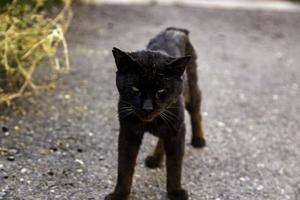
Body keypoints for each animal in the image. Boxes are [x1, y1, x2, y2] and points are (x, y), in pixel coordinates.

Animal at [105, 27, 206, 200]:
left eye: (161, 91)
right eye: (135, 88)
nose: (147, 107)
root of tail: (176, 29)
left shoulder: (177, 130)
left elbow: (175, 165)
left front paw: (175, 191)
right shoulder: (128, 132)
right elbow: (124, 166)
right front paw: (119, 194)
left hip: (190, 93)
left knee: (196, 112)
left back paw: (198, 139)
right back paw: (155, 158)